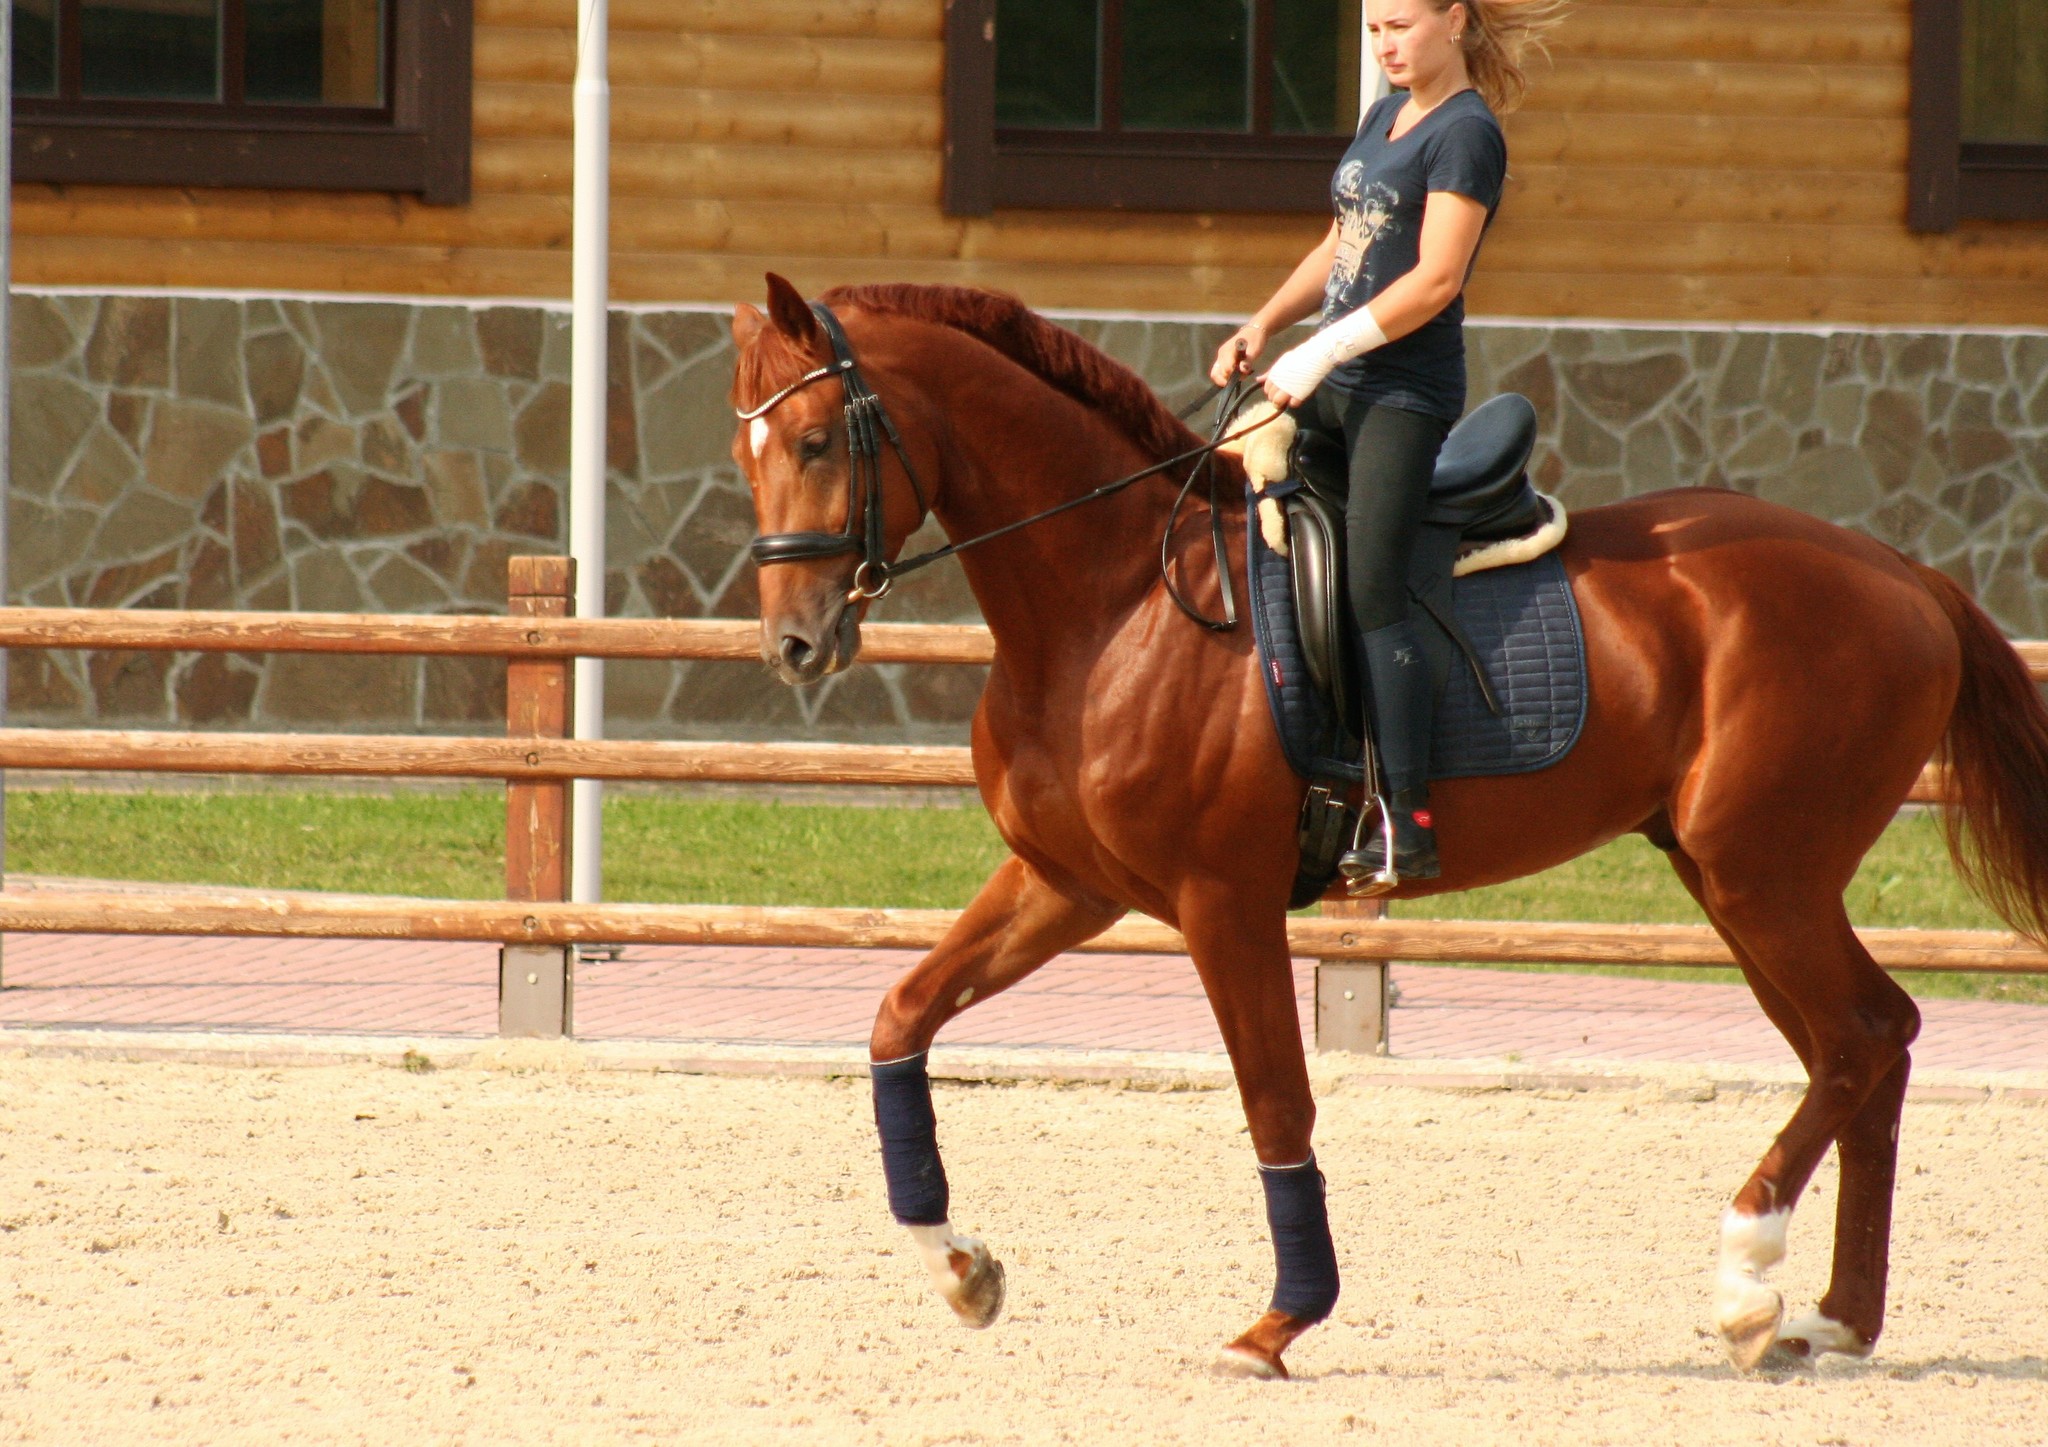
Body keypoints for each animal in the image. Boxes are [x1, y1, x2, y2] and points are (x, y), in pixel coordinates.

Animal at [724, 274, 2048, 1383]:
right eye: (745, 453)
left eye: (814, 441)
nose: (792, 644)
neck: (1112, 601)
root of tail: (1900, 573)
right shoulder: (1063, 884)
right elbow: (900, 1017)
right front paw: (961, 1266)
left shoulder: (1221, 904)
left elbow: (1275, 1101)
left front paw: (1278, 1322)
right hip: (1739, 882)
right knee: (1864, 1047)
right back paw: (1831, 1316)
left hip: (1760, 875)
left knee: (1857, 1039)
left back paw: (1744, 1282)